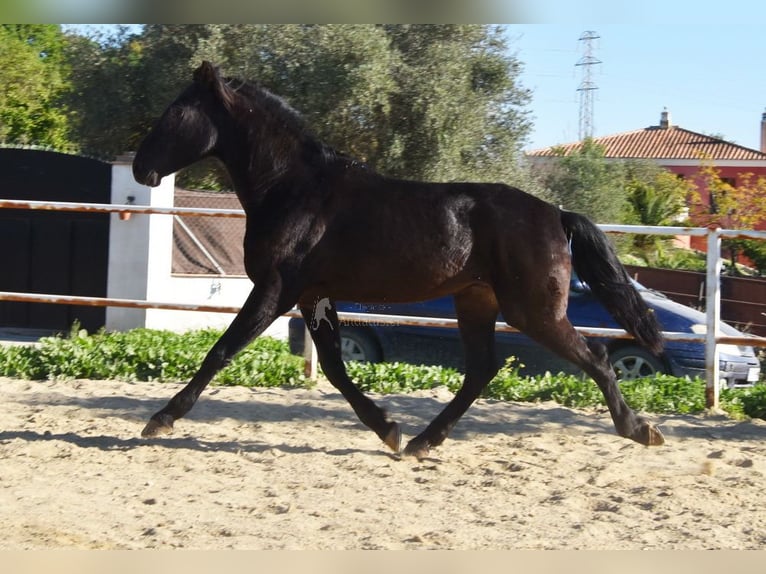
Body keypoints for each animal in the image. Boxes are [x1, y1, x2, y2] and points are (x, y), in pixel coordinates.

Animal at [134, 63, 664, 460]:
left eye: (177, 111)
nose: (141, 168)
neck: (294, 188)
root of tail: (555, 213)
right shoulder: (312, 295)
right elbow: (334, 367)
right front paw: (387, 428)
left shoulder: (276, 288)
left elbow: (222, 350)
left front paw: (160, 420)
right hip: (477, 301)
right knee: (482, 370)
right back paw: (422, 442)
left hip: (532, 311)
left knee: (594, 357)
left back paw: (640, 429)